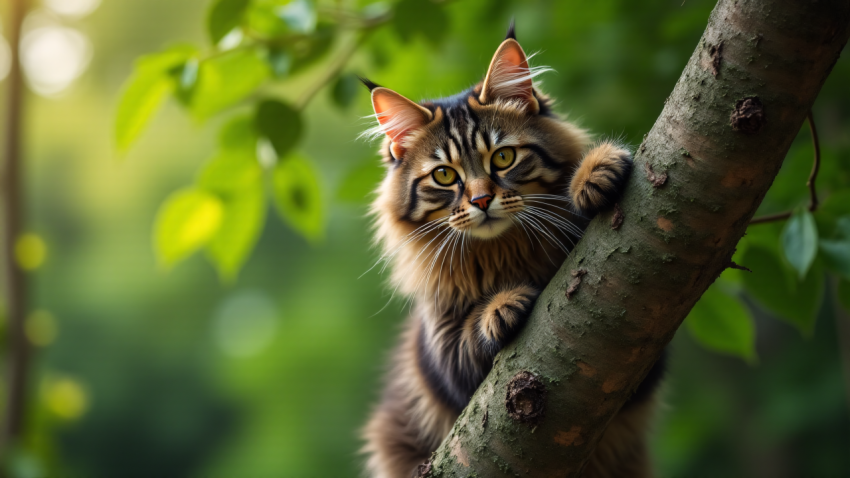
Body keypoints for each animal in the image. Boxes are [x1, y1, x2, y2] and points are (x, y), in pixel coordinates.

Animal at [358, 25, 664, 478]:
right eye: (444, 175)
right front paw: (502, 306)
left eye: (503, 157)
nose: (482, 200)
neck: (505, 251)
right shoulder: (442, 352)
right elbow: (471, 339)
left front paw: (595, 171)